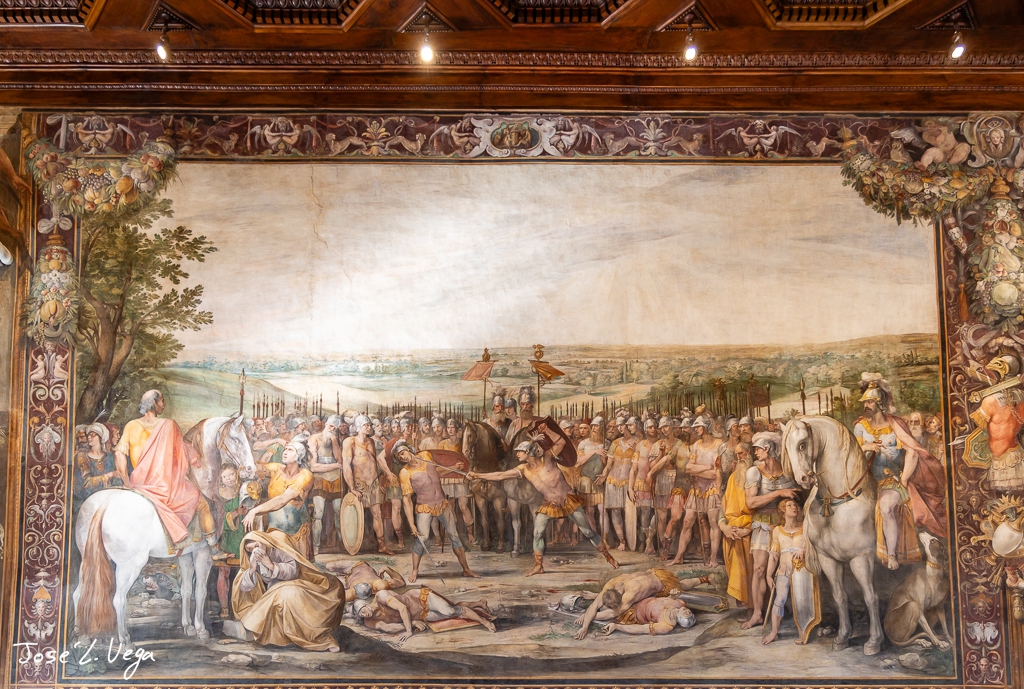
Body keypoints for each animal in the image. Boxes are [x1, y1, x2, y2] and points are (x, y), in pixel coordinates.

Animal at [72, 414, 256, 652]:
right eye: (235, 438)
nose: (252, 470)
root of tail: (104, 505)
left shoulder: (186, 554)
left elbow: (186, 589)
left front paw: (188, 627)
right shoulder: (203, 553)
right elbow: (200, 591)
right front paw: (201, 630)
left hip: (90, 559)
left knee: (79, 593)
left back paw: (82, 637)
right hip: (130, 564)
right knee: (118, 599)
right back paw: (126, 641)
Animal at [782, 415, 883, 655]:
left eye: (802, 445)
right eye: (787, 448)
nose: (803, 480)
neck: (838, 502)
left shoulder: (861, 560)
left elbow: (871, 596)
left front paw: (874, 641)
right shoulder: (828, 560)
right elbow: (840, 596)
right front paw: (842, 637)